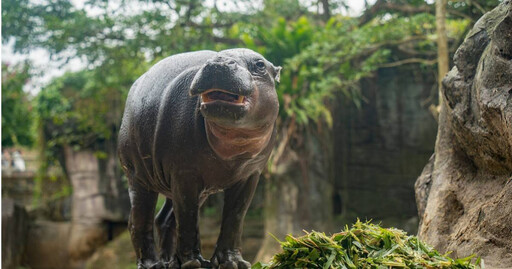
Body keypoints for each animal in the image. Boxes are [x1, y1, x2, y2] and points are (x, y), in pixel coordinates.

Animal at [117, 48, 280, 268]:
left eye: (260, 65)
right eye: (214, 57)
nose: (218, 63)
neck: (234, 146)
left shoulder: (250, 173)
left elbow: (235, 217)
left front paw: (233, 262)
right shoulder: (185, 172)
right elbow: (188, 217)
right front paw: (193, 263)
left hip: (188, 187)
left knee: (164, 219)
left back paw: (170, 263)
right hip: (138, 176)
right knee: (139, 220)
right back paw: (154, 264)